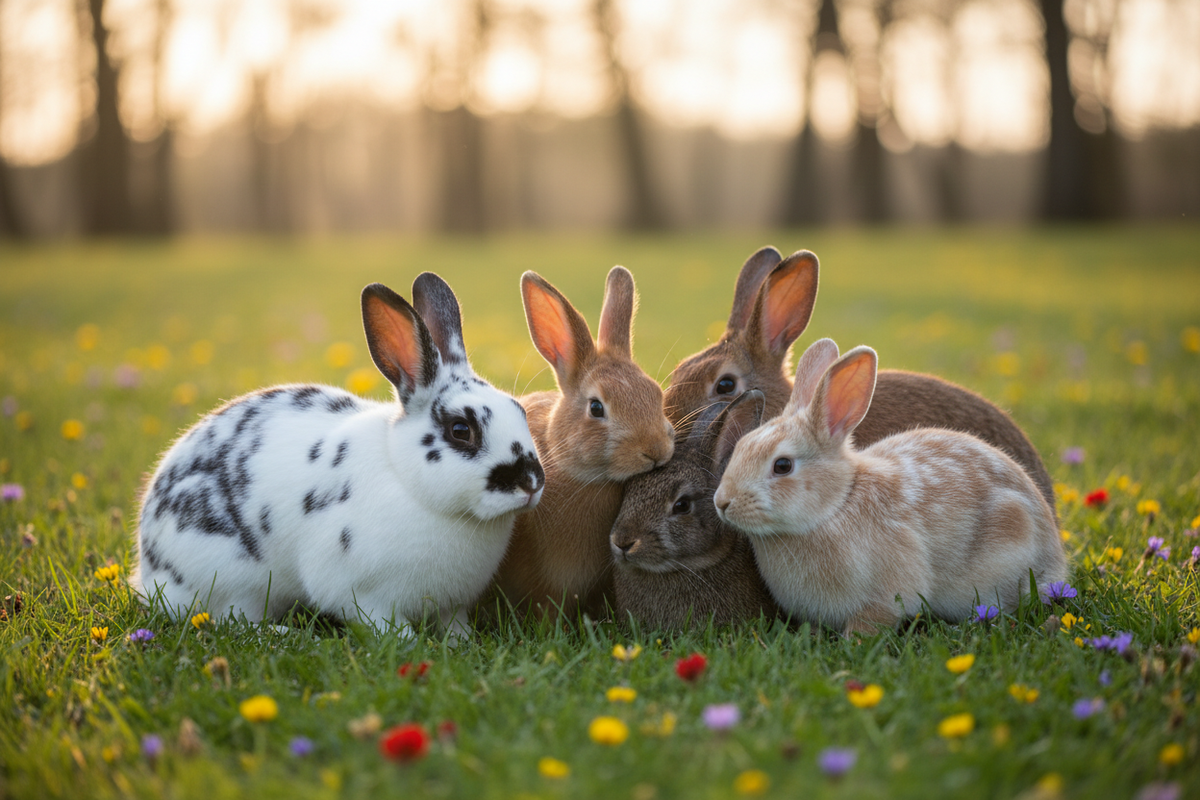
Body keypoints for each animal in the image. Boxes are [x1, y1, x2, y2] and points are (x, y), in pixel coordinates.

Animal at [131, 273, 545, 638]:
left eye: (520, 411)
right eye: (461, 430)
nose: (531, 483)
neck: (409, 483)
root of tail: (147, 570)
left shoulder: (451, 605)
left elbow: (454, 626)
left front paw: (462, 643)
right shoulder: (363, 595)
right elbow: (385, 626)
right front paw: (408, 645)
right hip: (234, 582)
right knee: (234, 620)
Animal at [713, 339, 1068, 636]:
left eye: (782, 465)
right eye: (741, 446)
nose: (722, 503)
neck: (836, 505)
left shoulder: (887, 594)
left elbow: (873, 620)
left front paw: (853, 642)